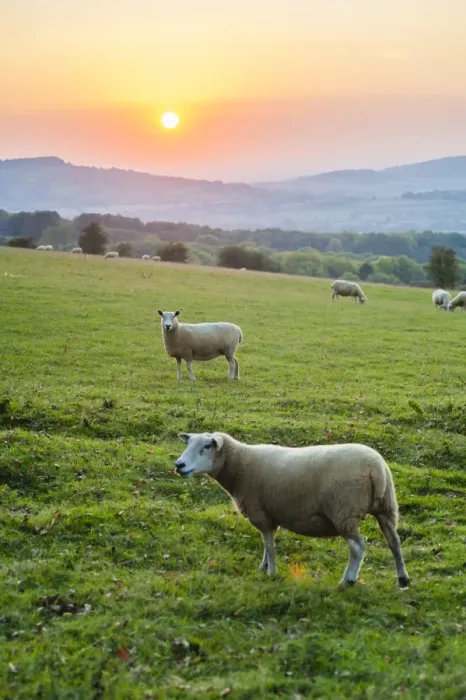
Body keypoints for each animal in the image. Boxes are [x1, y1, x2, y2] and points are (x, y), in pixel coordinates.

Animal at [175, 431, 410, 588]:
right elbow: (266, 545)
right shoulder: (270, 515)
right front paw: (263, 567)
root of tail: (376, 469)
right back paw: (402, 579)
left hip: (344, 511)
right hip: (386, 508)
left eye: (206, 447)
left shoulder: (261, 513)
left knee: (358, 547)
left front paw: (271, 572)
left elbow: (269, 545)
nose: (179, 465)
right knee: (394, 542)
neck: (240, 465)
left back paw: (348, 580)